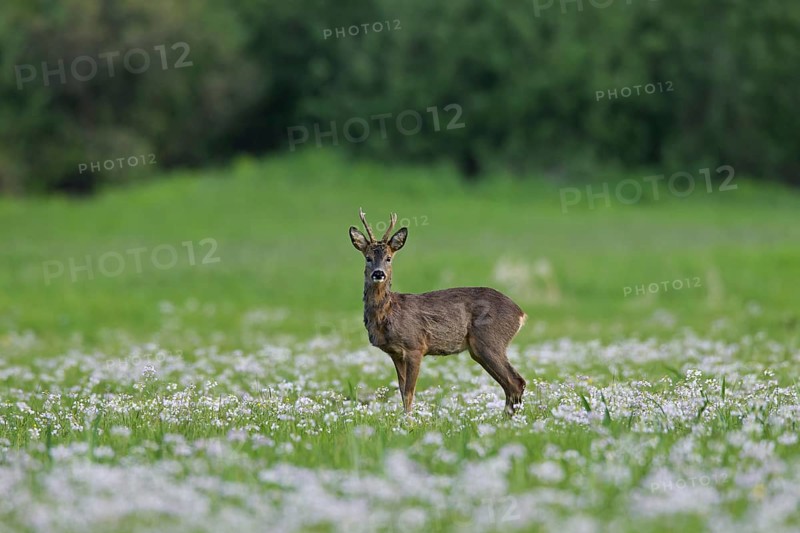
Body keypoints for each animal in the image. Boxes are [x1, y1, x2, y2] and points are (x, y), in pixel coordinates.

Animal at [348, 209, 528, 416]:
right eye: (368, 258)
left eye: (388, 258)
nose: (378, 274)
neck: (389, 313)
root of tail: (520, 313)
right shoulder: (396, 353)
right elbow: (402, 391)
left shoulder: (415, 346)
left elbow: (409, 392)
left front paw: (409, 421)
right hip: (480, 349)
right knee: (510, 384)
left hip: (490, 341)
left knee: (516, 382)